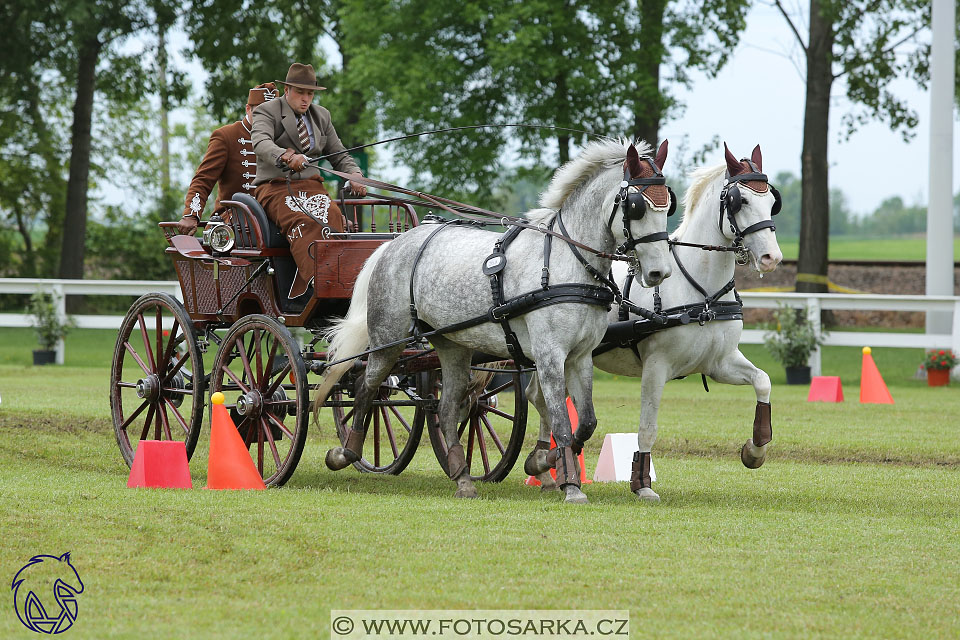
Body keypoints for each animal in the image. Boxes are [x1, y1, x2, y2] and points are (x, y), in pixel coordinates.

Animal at [316, 138, 676, 502]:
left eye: (668, 205)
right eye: (636, 206)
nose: (659, 272)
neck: (565, 262)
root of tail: (393, 245)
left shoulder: (580, 355)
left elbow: (585, 422)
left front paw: (543, 463)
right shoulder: (549, 356)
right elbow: (562, 422)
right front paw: (570, 484)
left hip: (452, 346)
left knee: (446, 409)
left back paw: (462, 477)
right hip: (387, 339)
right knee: (367, 388)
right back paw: (345, 453)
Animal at [528, 144, 784, 500]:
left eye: (772, 201)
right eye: (739, 201)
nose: (772, 258)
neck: (701, 292)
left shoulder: (720, 362)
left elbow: (763, 381)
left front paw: (754, 450)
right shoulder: (657, 366)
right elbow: (647, 428)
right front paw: (642, 484)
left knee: (540, 398)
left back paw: (545, 466)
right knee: (539, 398)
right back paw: (545, 461)